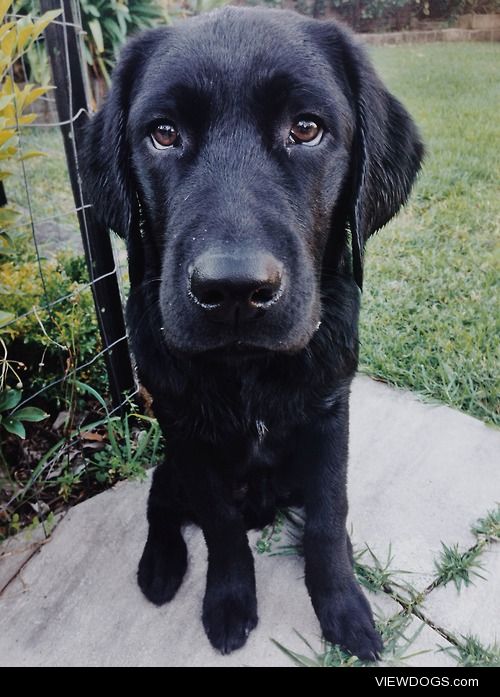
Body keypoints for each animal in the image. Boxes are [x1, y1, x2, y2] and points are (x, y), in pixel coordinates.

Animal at [85, 6, 422, 664]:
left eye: (307, 129)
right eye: (163, 133)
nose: (235, 290)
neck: (247, 373)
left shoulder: (329, 418)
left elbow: (327, 517)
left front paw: (343, 607)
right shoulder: (188, 434)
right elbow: (220, 529)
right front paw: (228, 602)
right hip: (174, 465)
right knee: (160, 498)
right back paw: (160, 565)